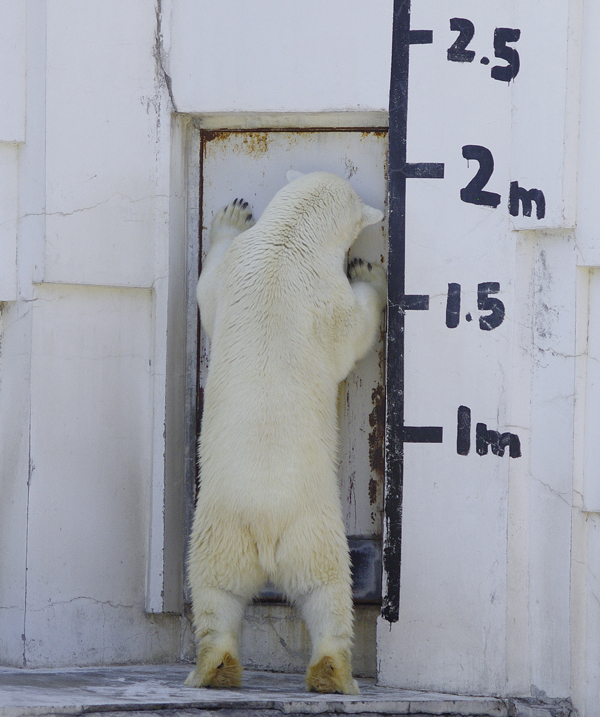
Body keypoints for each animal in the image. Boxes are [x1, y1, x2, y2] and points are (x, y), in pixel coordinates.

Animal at [185, 169, 386, 692]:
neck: (287, 242)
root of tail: (265, 526)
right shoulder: (324, 296)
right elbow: (353, 333)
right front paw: (368, 272)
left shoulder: (238, 268)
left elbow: (206, 294)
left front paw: (230, 215)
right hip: (312, 527)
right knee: (327, 587)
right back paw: (334, 670)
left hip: (220, 528)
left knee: (215, 589)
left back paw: (215, 665)